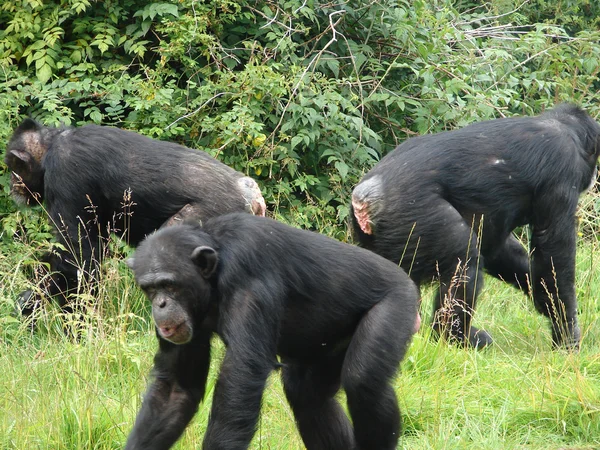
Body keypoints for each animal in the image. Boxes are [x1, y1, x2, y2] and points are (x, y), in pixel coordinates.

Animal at [2, 119, 264, 316]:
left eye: (13, 167)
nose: (12, 183)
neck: (52, 144)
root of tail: (250, 192)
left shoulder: (65, 175)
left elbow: (77, 255)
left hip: (210, 214)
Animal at [125, 214, 420, 450]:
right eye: (150, 289)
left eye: (170, 285)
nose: (160, 305)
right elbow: (176, 390)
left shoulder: (247, 274)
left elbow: (241, 376)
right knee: (307, 393)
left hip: (397, 303)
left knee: (364, 381)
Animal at [352, 103, 600, 350]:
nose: (595, 175)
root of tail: (366, 194)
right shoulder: (562, 170)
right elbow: (554, 253)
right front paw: (567, 334)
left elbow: (499, 250)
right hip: (417, 215)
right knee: (464, 262)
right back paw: (458, 337)